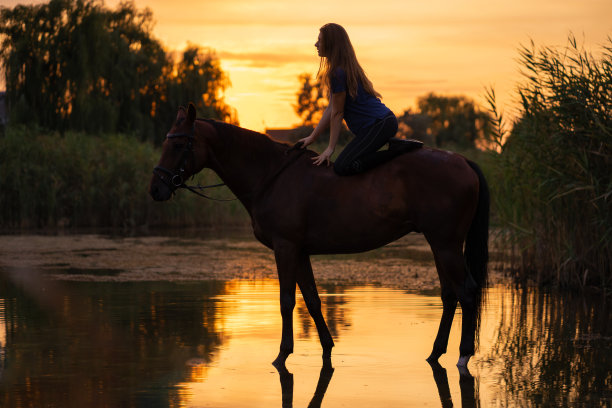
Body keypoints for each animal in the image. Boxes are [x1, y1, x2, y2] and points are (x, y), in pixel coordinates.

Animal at [151, 103, 490, 370]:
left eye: (179, 146)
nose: (156, 189)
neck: (271, 175)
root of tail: (462, 161)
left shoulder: (285, 248)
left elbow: (287, 300)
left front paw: (282, 355)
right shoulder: (300, 251)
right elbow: (312, 300)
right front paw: (327, 348)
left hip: (446, 245)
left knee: (466, 291)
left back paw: (463, 356)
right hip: (439, 244)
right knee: (449, 295)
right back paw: (435, 354)